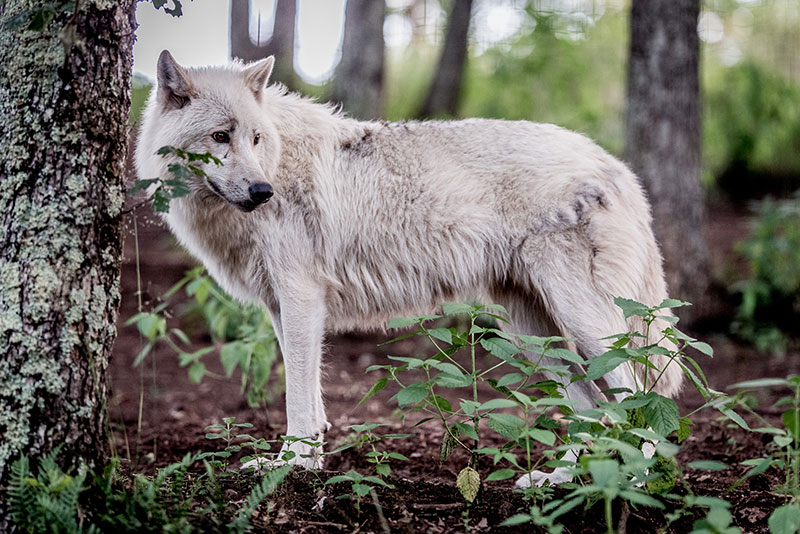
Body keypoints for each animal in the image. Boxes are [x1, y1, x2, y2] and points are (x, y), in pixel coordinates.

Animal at [136, 51, 680, 490]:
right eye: (220, 137)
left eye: (254, 138)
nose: (261, 192)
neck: (279, 159)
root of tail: (617, 166)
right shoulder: (280, 308)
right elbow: (308, 397)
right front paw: (305, 464)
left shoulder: (301, 301)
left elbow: (296, 399)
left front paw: (291, 464)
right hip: (532, 337)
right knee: (594, 412)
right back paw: (560, 480)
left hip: (586, 328)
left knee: (639, 399)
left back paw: (631, 481)